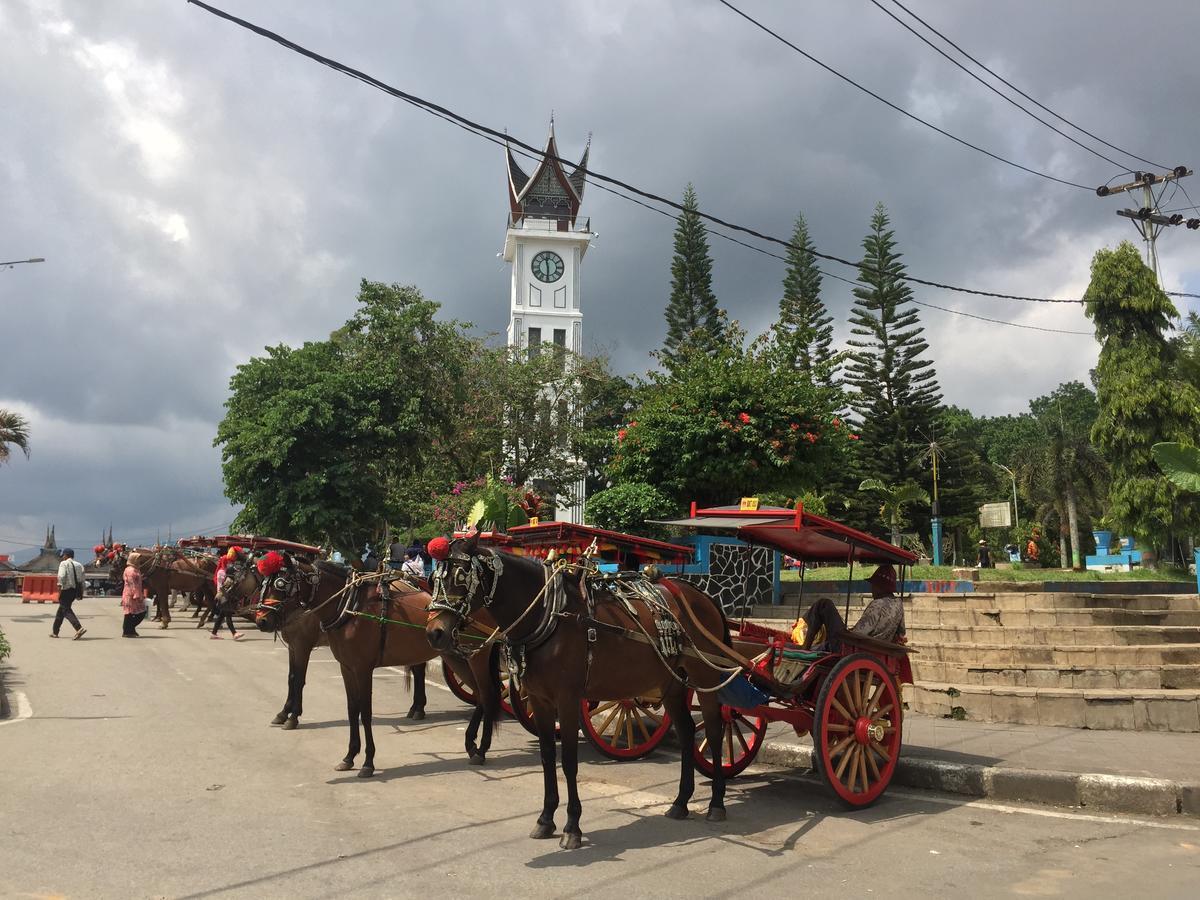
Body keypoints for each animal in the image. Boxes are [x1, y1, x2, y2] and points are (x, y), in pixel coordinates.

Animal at [253, 554, 501, 777]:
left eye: (280, 584)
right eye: (263, 583)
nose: (261, 620)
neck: (349, 605)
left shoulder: (360, 668)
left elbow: (365, 711)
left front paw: (368, 762)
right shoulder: (346, 667)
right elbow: (352, 709)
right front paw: (349, 757)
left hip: (476, 656)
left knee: (488, 694)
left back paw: (482, 748)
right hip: (456, 657)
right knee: (480, 694)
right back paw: (471, 743)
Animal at [427, 535, 734, 854]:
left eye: (461, 577)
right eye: (434, 579)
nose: (434, 633)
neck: (549, 617)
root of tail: (701, 596)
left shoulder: (568, 700)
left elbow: (569, 762)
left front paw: (572, 827)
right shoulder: (539, 700)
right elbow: (548, 757)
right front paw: (545, 819)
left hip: (704, 676)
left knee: (713, 732)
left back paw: (716, 802)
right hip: (671, 684)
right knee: (686, 733)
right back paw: (681, 802)